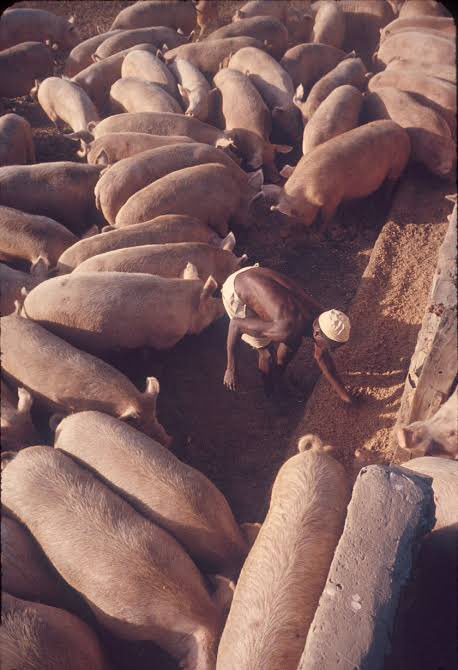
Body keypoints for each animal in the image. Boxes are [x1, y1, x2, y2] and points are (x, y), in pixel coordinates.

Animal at [115, 163, 262, 233]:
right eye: (253, 202)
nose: (253, 225)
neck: (236, 190)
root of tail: (118, 222)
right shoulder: (218, 216)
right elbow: (224, 230)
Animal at [271, 120, 411, 228]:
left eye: (296, 214)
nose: (283, 234)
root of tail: (401, 129)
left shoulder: (332, 198)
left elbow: (327, 216)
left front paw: (321, 229)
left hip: (398, 163)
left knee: (391, 182)